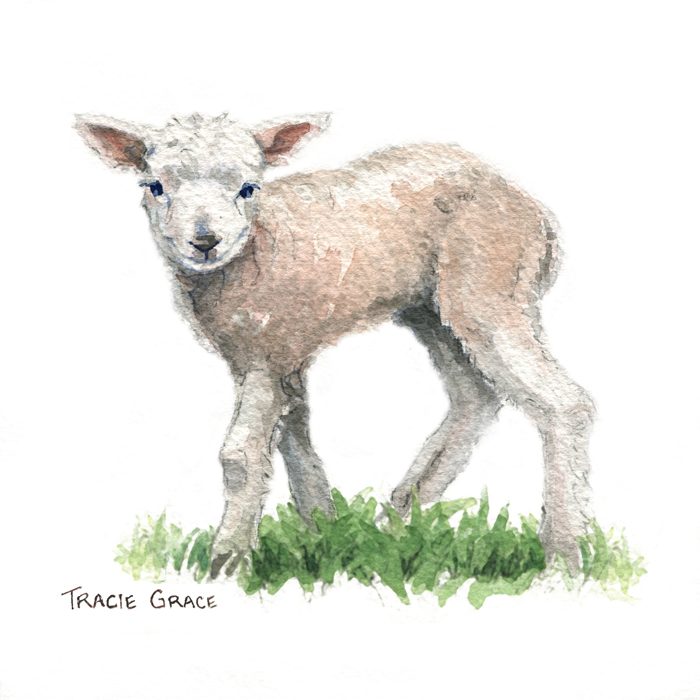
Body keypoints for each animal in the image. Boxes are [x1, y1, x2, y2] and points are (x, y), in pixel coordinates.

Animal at [76, 112, 595, 579]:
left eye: (249, 187)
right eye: (155, 186)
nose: (205, 241)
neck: (258, 249)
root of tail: (536, 215)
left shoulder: (268, 350)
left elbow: (240, 454)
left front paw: (227, 562)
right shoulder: (275, 352)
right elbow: (294, 439)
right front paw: (322, 534)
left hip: (489, 286)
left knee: (564, 403)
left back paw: (564, 558)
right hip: (429, 308)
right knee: (475, 396)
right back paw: (395, 524)